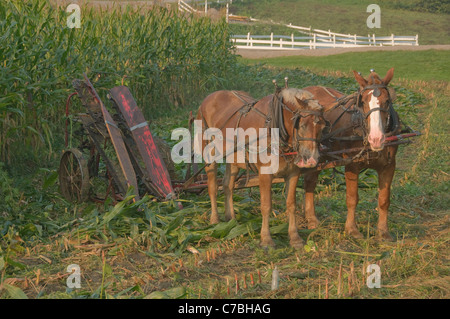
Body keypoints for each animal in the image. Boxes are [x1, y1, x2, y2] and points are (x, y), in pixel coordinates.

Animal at [195, 88, 326, 250]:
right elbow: (266, 205)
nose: (312, 159)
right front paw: (266, 239)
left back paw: (231, 218)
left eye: (323, 127)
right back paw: (214, 219)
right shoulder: (265, 174)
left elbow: (291, 204)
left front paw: (295, 238)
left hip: (234, 159)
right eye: (302, 125)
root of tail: (209, 98)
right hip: (210, 154)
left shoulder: (293, 174)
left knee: (227, 185)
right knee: (213, 186)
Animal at [302, 69, 400, 241]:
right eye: (362, 102)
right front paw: (352, 229)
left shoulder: (389, 166)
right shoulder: (351, 165)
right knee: (308, 182)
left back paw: (311, 218)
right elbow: (352, 198)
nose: (376, 138)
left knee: (310, 182)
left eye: (387, 101)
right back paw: (311, 219)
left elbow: (384, 200)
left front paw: (383, 232)